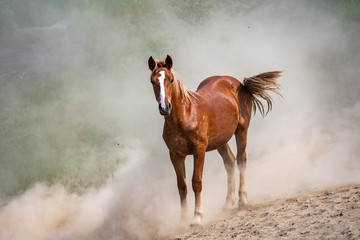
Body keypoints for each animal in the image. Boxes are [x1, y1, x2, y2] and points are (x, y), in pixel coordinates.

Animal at [147, 54, 282, 227]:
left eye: (171, 79)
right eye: (152, 81)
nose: (164, 107)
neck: (185, 116)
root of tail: (240, 84)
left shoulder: (199, 150)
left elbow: (196, 182)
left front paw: (197, 218)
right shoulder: (175, 155)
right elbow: (182, 186)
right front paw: (182, 220)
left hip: (241, 130)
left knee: (241, 159)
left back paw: (242, 200)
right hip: (221, 140)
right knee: (229, 161)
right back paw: (228, 203)